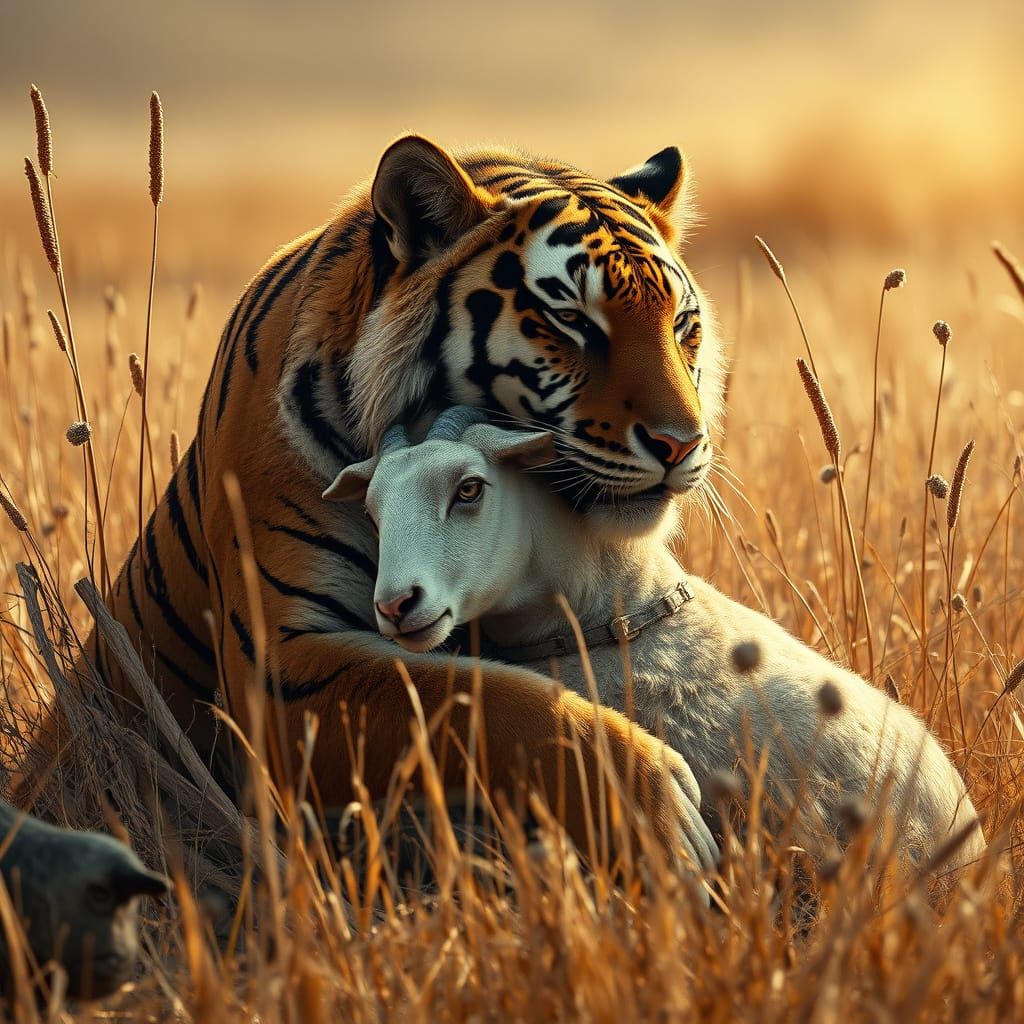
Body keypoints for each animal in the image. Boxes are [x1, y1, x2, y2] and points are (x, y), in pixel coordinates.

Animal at [41, 136, 726, 860]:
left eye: (683, 326)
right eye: (569, 321)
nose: (683, 443)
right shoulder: (279, 666)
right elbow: (469, 698)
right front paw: (662, 811)